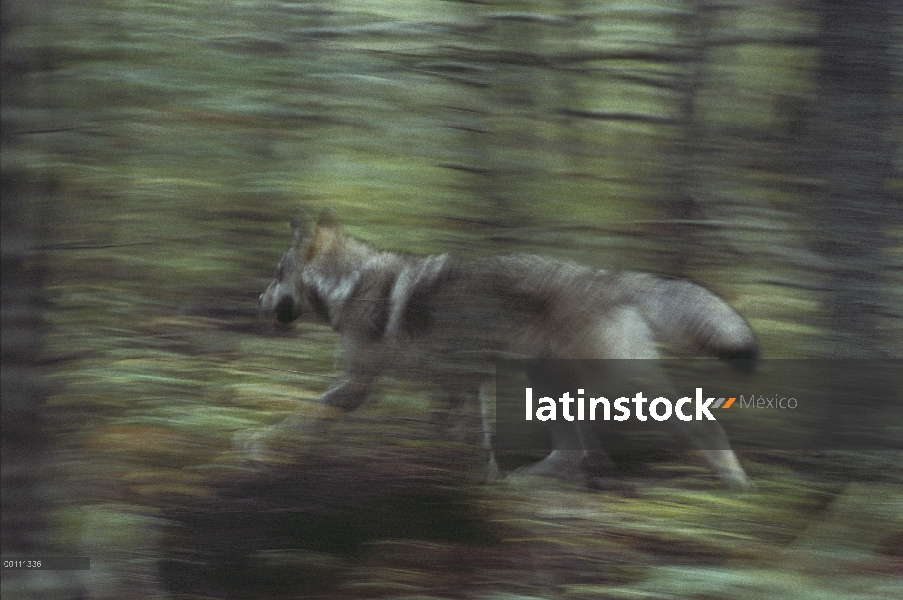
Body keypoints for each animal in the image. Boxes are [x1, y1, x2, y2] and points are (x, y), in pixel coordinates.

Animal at [251, 209, 760, 490]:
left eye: (276, 274)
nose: (257, 302)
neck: (349, 285)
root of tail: (609, 278)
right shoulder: (462, 385)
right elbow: (476, 442)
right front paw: (482, 482)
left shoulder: (356, 385)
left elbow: (298, 418)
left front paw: (255, 444)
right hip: (551, 385)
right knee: (576, 453)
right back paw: (524, 485)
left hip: (614, 386)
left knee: (698, 425)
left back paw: (737, 485)